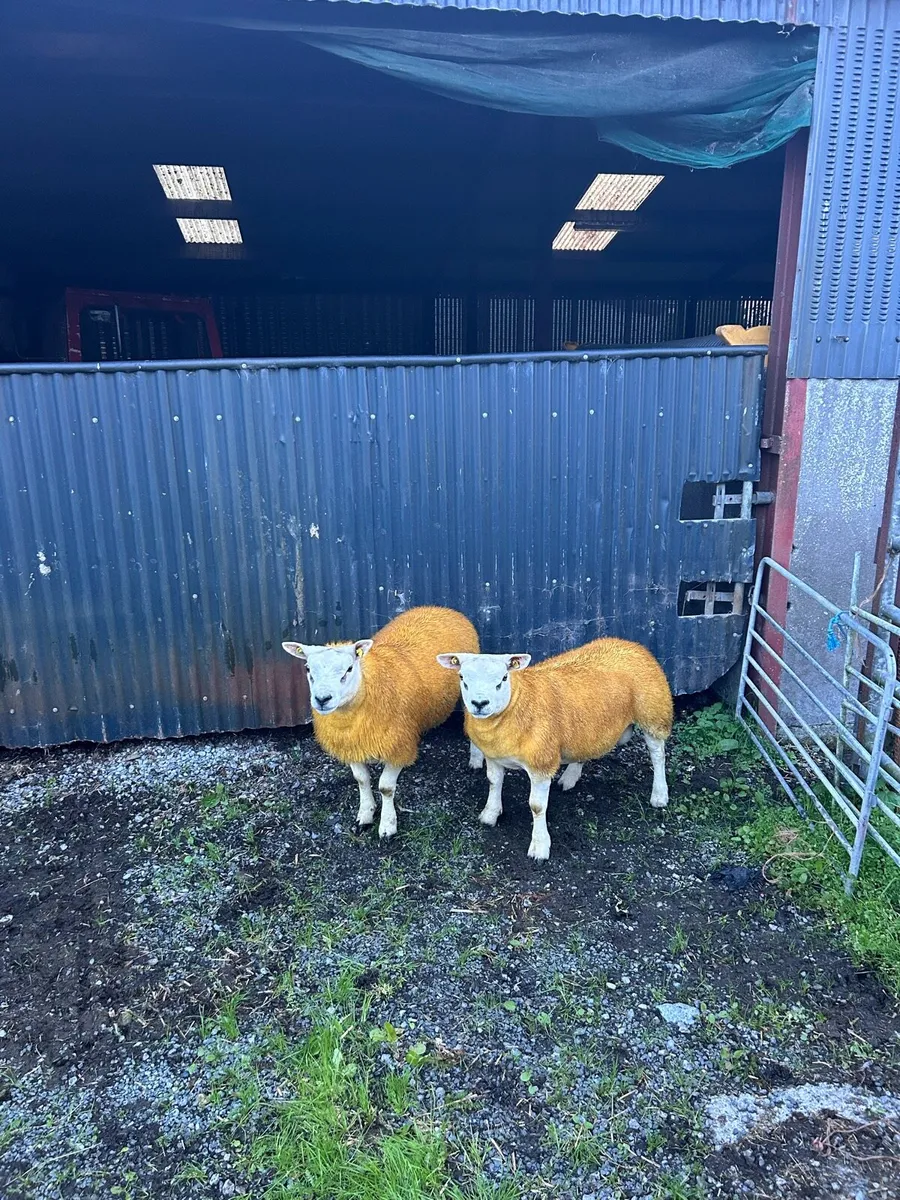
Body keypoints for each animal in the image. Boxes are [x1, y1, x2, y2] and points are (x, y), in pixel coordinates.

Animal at [283, 606, 481, 838]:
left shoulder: (397, 745)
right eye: (307, 668)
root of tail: (443, 609)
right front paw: (365, 814)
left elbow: (386, 787)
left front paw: (387, 825)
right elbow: (361, 779)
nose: (322, 699)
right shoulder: (351, 744)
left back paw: (476, 759)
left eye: (349, 669)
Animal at [437, 638, 673, 860]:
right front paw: (490, 814)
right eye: (462, 678)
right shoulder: (494, 756)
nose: (480, 703)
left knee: (658, 754)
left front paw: (540, 847)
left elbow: (536, 806)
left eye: (503, 679)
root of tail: (631, 644)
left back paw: (660, 794)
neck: (518, 702)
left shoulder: (541, 763)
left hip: (653, 712)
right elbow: (494, 783)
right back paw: (570, 777)